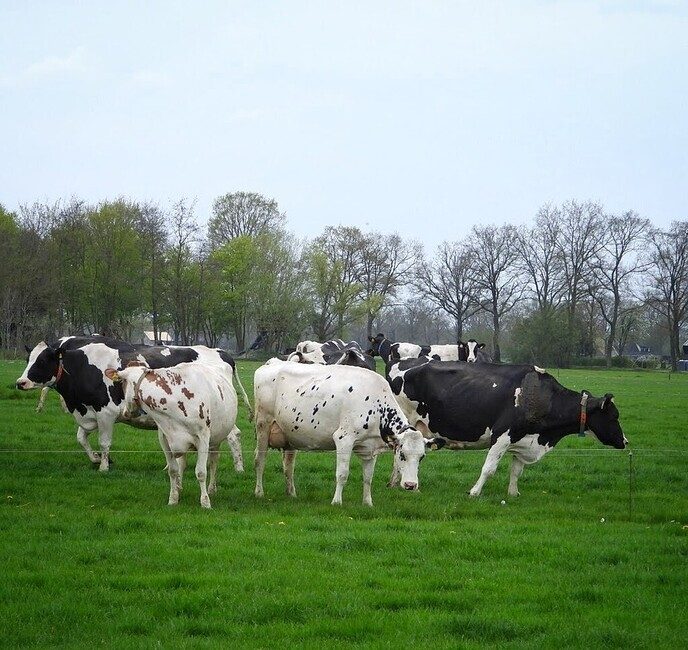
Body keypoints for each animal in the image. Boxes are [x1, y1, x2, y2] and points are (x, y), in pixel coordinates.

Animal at [16, 339, 252, 472]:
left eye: (42, 361)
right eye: (28, 359)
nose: (20, 382)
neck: (83, 367)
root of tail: (220, 352)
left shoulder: (106, 413)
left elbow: (104, 442)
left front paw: (103, 466)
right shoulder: (88, 412)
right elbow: (81, 439)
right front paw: (96, 459)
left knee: (233, 435)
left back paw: (239, 468)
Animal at [105, 361, 240, 508]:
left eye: (122, 382)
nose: (125, 412)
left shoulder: (203, 437)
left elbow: (201, 472)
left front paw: (205, 501)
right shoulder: (164, 438)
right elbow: (173, 470)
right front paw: (173, 498)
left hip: (217, 438)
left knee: (213, 462)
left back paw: (211, 489)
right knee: (183, 463)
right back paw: (179, 487)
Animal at [253, 358, 445, 506]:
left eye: (422, 457)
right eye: (402, 455)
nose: (411, 485)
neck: (377, 406)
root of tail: (274, 362)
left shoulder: (370, 448)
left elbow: (368, 477)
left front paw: (367, 503)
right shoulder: (344, 439)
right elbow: (342, 473)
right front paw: (336, 502)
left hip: (290, 435)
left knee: (288, 465)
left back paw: (291, 493)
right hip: (263, 425)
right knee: (260, 460)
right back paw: (259, 492)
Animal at [385, 358, 627, 497]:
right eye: (614, 416)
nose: (625, 441)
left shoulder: (523, 440)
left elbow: (516, 471)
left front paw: (512, 493)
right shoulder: (502, 436)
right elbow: (489, 468)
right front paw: (474, 492)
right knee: (399, 454)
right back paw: (399, 482)